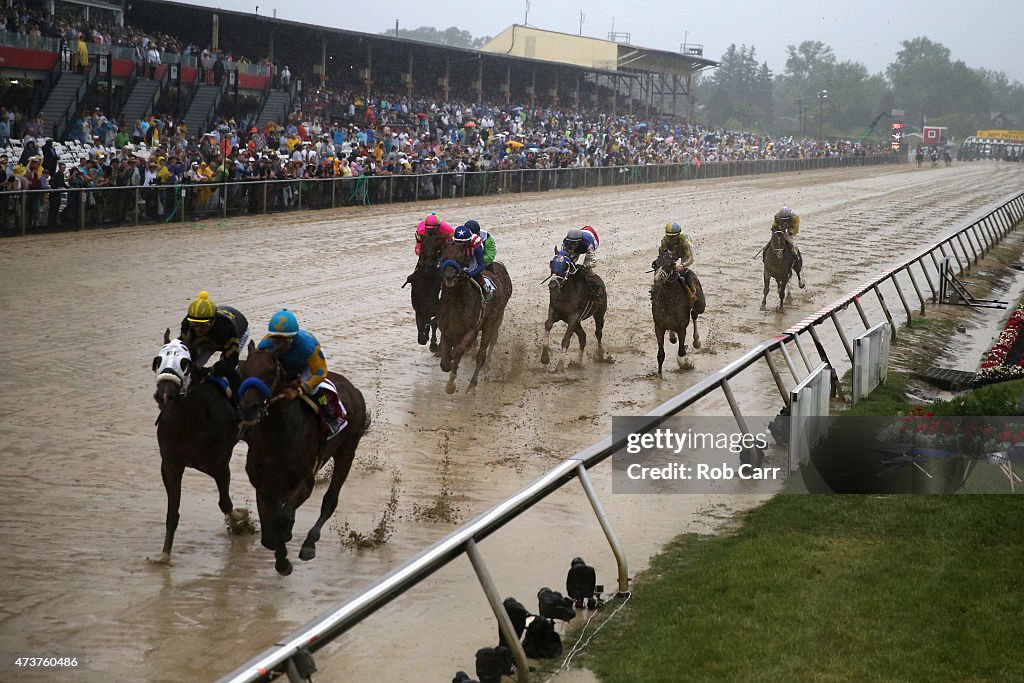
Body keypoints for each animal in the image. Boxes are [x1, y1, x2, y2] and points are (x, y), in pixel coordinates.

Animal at [149, 331, 247, 565]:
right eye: (158, 360)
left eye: (185, 363)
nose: (165, 394)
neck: (190, 421)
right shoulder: (171, 465)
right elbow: (172, 513)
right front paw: (164, 554)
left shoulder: (220, 465)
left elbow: (225, 503)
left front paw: (242, 521)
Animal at [237, 344, 370, 573]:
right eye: (243, 371)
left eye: (270, 373)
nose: (248, 408)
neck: (277, 438)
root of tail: (353, 389)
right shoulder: (263, 486)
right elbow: (268, 536)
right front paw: (281, 555)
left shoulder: (306, 481)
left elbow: (282, 518)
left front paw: (284, 556)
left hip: (347, 450)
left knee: (330, 500)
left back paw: (309, 543)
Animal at [434, 242, 512, 395]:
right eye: (443, 256)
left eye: (459, 257)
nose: (449, 276)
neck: (455, 302)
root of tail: (501, 268)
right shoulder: (446, 331)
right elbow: (445, 362)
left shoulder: (472, 329)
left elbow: (458, 352)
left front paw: (451, 385)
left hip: (493, 321)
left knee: (482, 354)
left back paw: (472, 386)